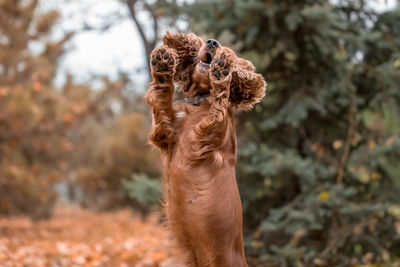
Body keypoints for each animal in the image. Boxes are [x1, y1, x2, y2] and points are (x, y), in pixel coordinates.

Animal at [145, 32, 268, 266]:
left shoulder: (200, 142)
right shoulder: (164, 136)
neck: (199, 102)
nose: (212, 42)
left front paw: (222, 72)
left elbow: (218, 109)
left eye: (229, 52)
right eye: (205, 41)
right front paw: (163, 66)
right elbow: (162, 103)